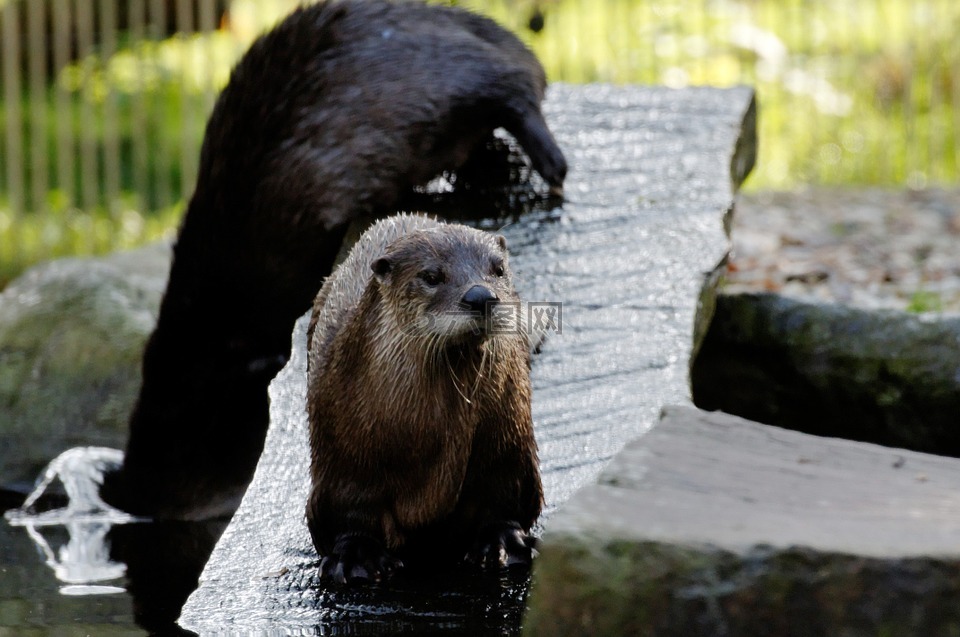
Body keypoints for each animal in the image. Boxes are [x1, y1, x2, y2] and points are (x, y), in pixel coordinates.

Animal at [306, 214, 540, 580]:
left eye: (498, 268)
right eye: (431, 276)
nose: (481, 295)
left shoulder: (506, 439)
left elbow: (502, 495)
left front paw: (502, 541)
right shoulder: (345, 457)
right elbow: (350, 511)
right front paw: (357, 555)